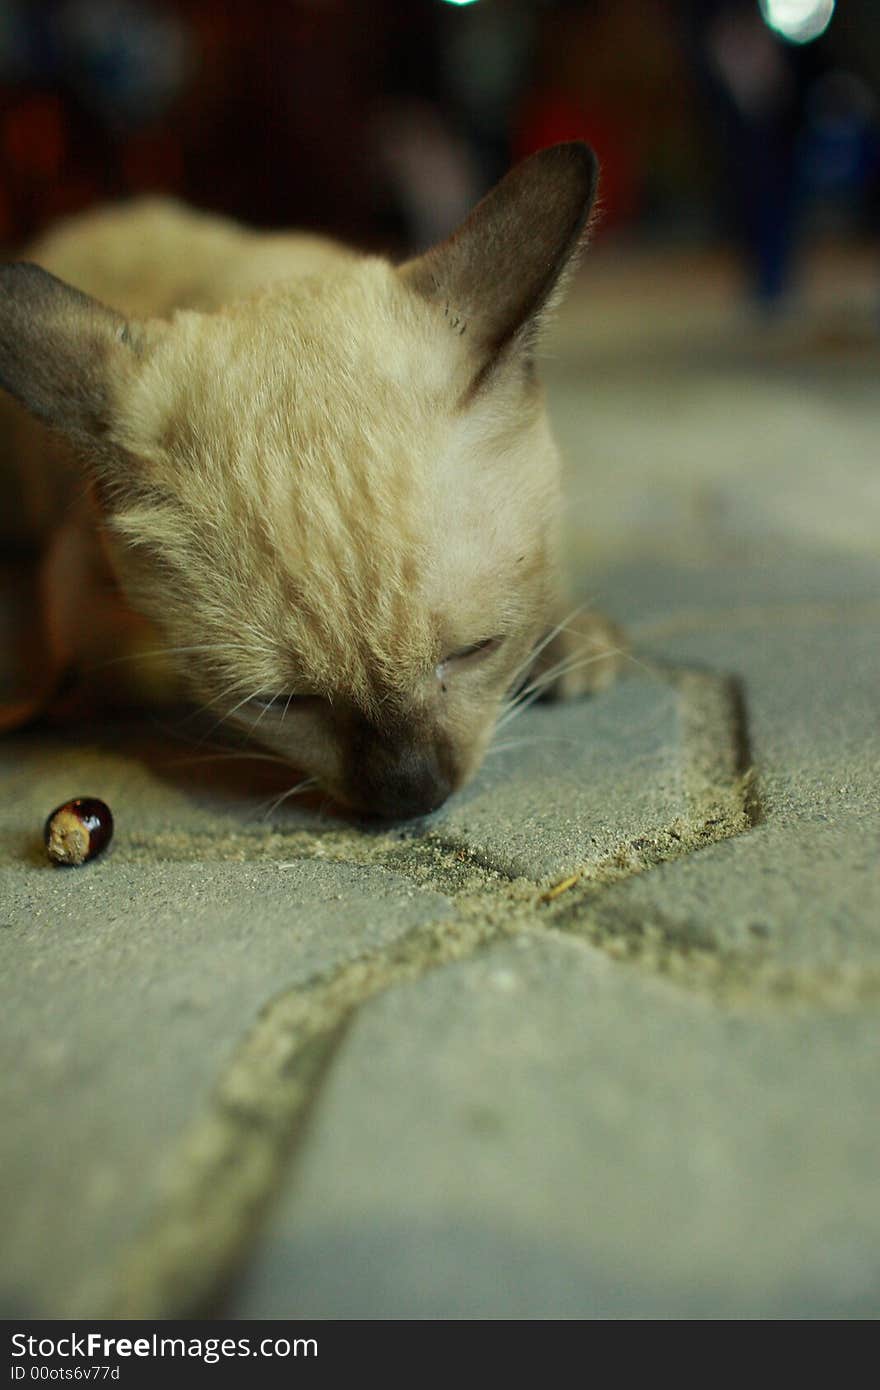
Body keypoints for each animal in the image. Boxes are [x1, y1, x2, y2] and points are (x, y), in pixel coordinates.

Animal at [0, 139, 620, 817]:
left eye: (475, 651)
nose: (411, 794)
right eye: (283, 703)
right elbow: (122, 669)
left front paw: (571, 643)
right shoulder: (78, 584)